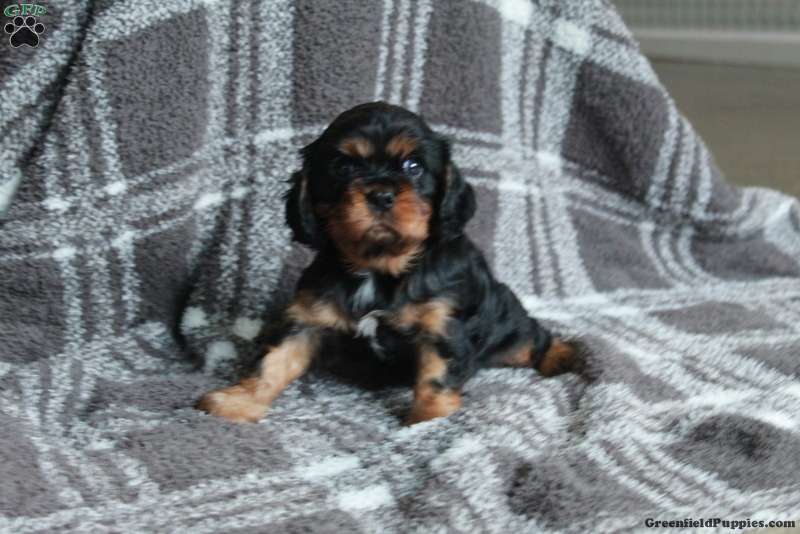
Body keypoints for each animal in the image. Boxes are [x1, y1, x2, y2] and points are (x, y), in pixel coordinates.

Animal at [197, 102, 578, 425]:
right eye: (343, 167)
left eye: (414, 166)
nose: (380, 195)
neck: (378, 268)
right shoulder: (307, 318)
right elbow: (272, 362)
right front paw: (238, 402)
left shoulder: (442, 326)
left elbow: (435, 378)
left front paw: (428, 422)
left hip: (507, 326)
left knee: (533, 338)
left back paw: (564, 355)